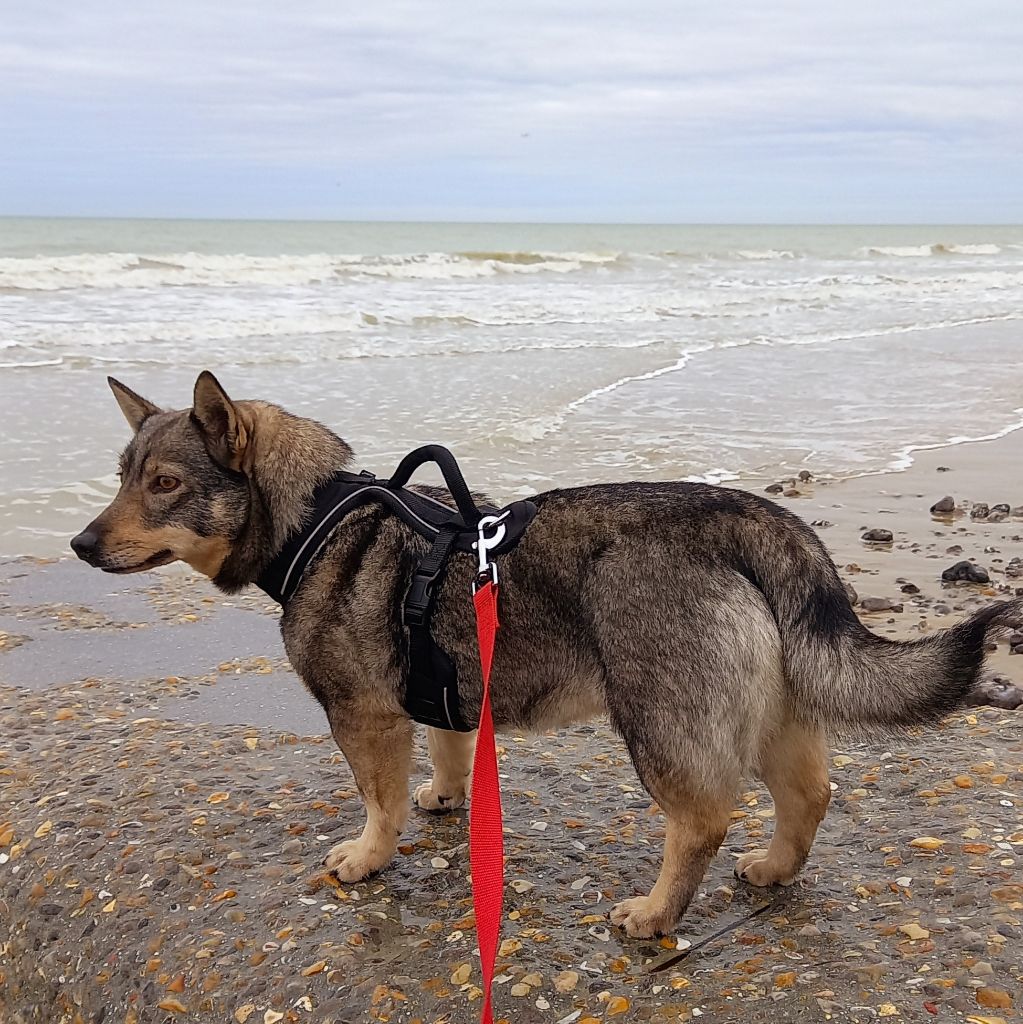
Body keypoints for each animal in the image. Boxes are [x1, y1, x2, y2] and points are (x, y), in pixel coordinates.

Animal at [71, 372, 1020, 938]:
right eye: (120, 476)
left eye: (165, 484)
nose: (80, 545)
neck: (315, 517)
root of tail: (750, 519)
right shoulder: (446, 690)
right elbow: (450, 755)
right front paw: (447, 797)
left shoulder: (363, 716)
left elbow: (377, 804)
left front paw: (369, 856)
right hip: (776, 709)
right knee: (808, 794)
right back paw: (775, 869)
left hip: (658, 725)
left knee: (701, 820)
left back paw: (655, 912)